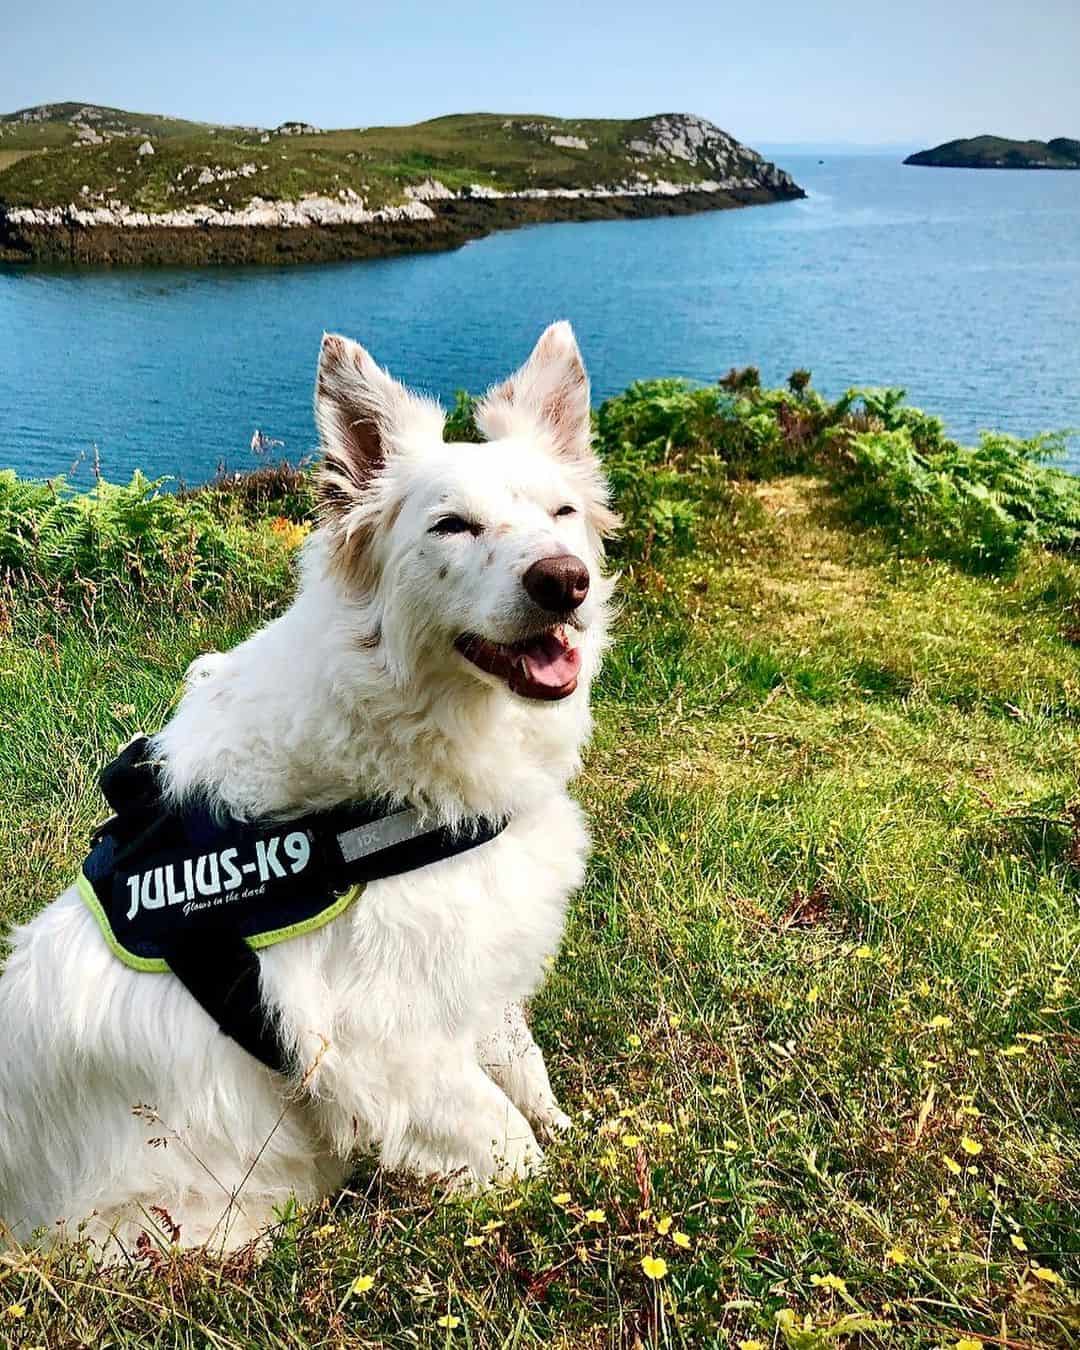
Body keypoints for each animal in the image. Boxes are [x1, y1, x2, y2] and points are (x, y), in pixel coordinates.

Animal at [0, 324, 615, 1252]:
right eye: (452, 526)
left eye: (561, 515)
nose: (562, 580)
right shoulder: (387, 1044)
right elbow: (509, 1142)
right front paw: (568, 1201)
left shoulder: (479, 975)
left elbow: (525, 1071)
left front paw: (581, 1135)